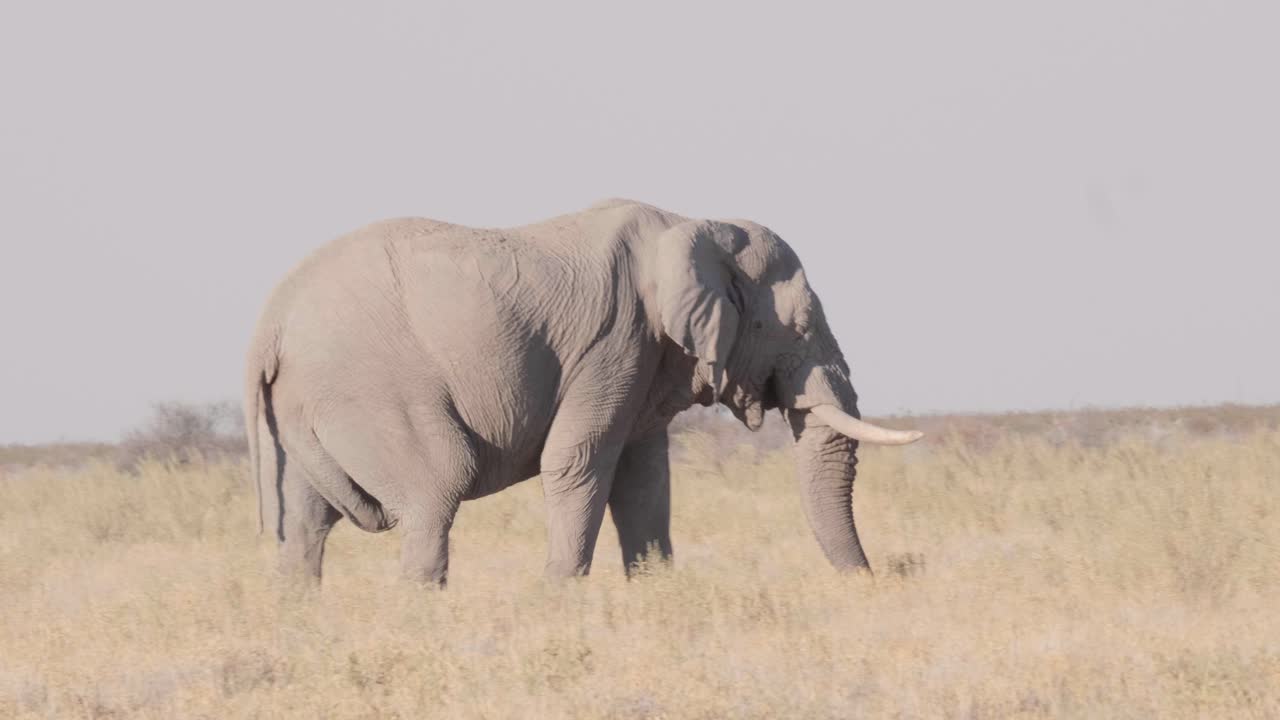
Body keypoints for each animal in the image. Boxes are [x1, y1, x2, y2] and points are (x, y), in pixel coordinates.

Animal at [243, 199, 922, 586]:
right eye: (792, 328)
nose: (879, 580)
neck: (689, 228)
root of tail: (269, 323)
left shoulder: (648, 360)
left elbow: (644, 478)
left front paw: (656, 598)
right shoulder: (615, 342)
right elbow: (578, 461)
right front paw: (562, 601)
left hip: (306, 406)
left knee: (305, 524)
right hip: (369, 392)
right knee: (436, 490)